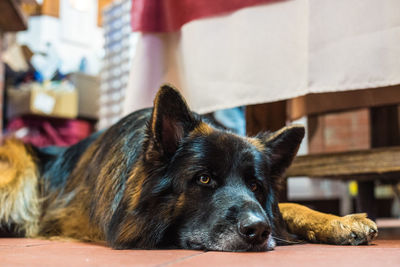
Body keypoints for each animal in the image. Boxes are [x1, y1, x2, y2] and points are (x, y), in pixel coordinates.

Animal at [0, 85, 376, 251]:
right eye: (204, 179)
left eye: (256, 187)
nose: (257, 231)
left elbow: (288, 207)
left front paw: (340, 221)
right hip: (17, 161)